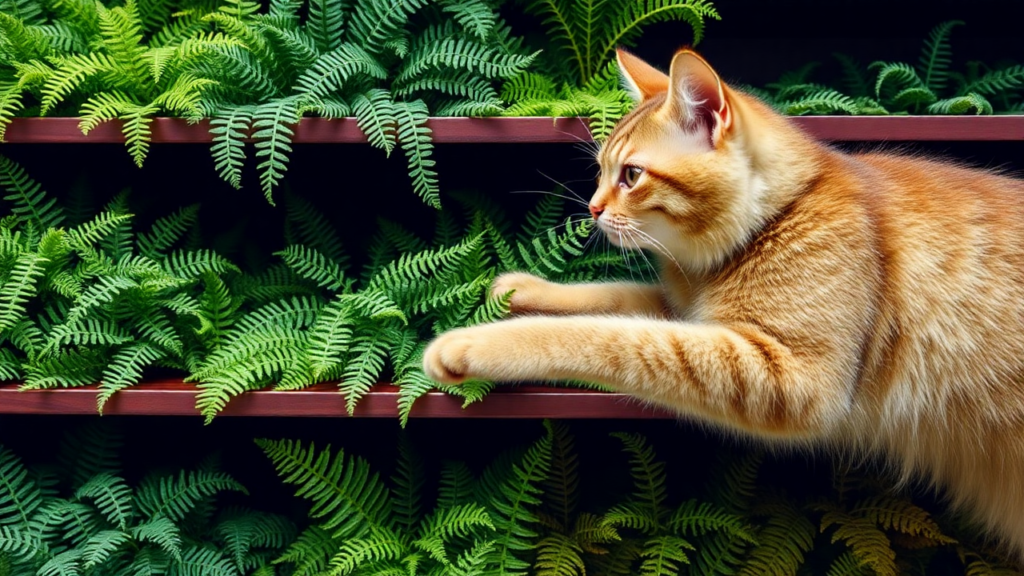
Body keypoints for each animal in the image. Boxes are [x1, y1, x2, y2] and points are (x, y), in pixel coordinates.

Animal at [421, 50, 1024, 557]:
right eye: (599, 171)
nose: (591, 208)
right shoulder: (684, 309)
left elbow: (606, 334)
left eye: (631, 175)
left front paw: (473, 343)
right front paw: (520, 289)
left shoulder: (785, 373)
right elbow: (610, 295)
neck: (777, 218)